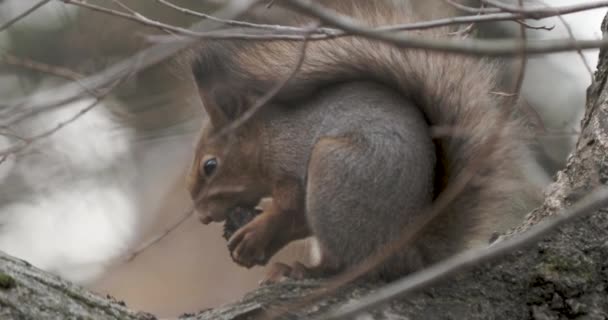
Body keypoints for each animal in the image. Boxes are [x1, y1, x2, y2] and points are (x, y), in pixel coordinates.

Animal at [184, 0, 532, 280]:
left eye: (210, 166)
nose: (202, 217)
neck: (270, 137)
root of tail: (411, 253)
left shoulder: (293, 161)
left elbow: (289, 208)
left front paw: (256, 233)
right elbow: (295, 220)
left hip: (334, 170)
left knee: (344, 263)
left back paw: (303, 270)